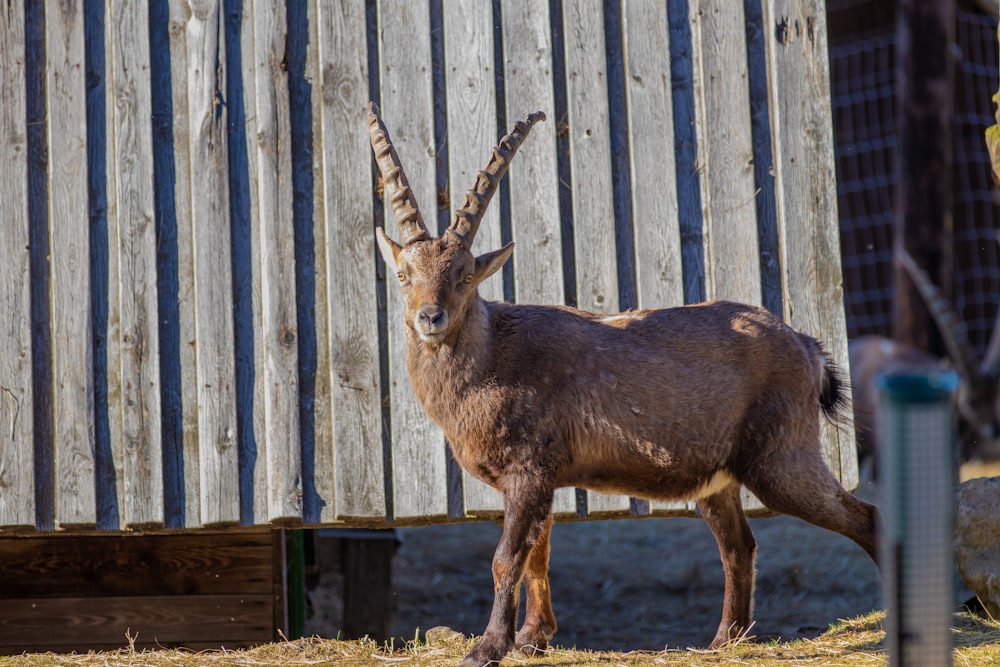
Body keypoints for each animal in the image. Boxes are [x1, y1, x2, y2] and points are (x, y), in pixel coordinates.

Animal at [368, 104, 876, 667]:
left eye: (463, 275)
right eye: (404, 275)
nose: (430, 318)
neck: (493, 356)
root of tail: (806, 347)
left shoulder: (527, 471)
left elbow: (507, 558)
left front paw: (489, 647)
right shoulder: (538, 479)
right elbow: (537, 554)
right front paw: (532, 638)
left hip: (782, 459)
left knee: (864, 518)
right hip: (719, 478)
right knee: (739, 544)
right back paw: (724, 639)